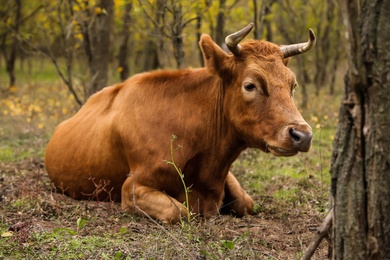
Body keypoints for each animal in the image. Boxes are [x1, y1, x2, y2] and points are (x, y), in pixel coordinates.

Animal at [45, 23, 316, 223]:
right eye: (250, 85)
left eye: (293, 85)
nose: (302, 135)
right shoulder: (131, 187)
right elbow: (179, 212)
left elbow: (245, 202)